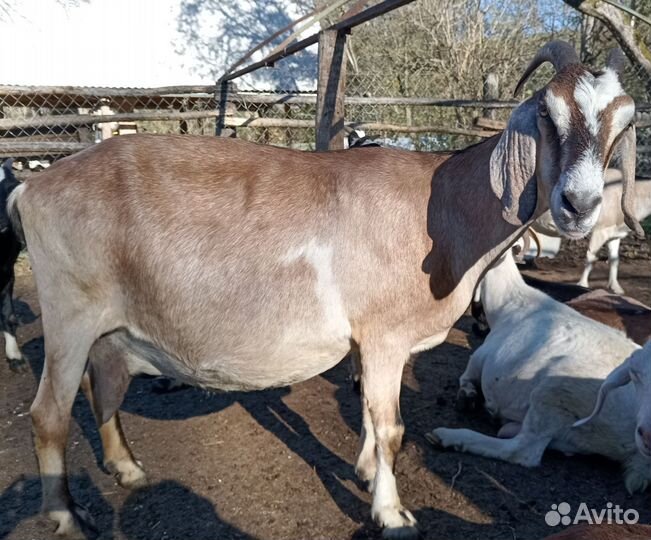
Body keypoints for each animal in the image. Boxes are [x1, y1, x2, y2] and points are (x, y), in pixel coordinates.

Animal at [428, 249, 650, 493]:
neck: (509, 303)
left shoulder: (480, 360)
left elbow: (465, 378)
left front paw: (467, 398)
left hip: (555, 391)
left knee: (523, 451)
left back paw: (449, 437)